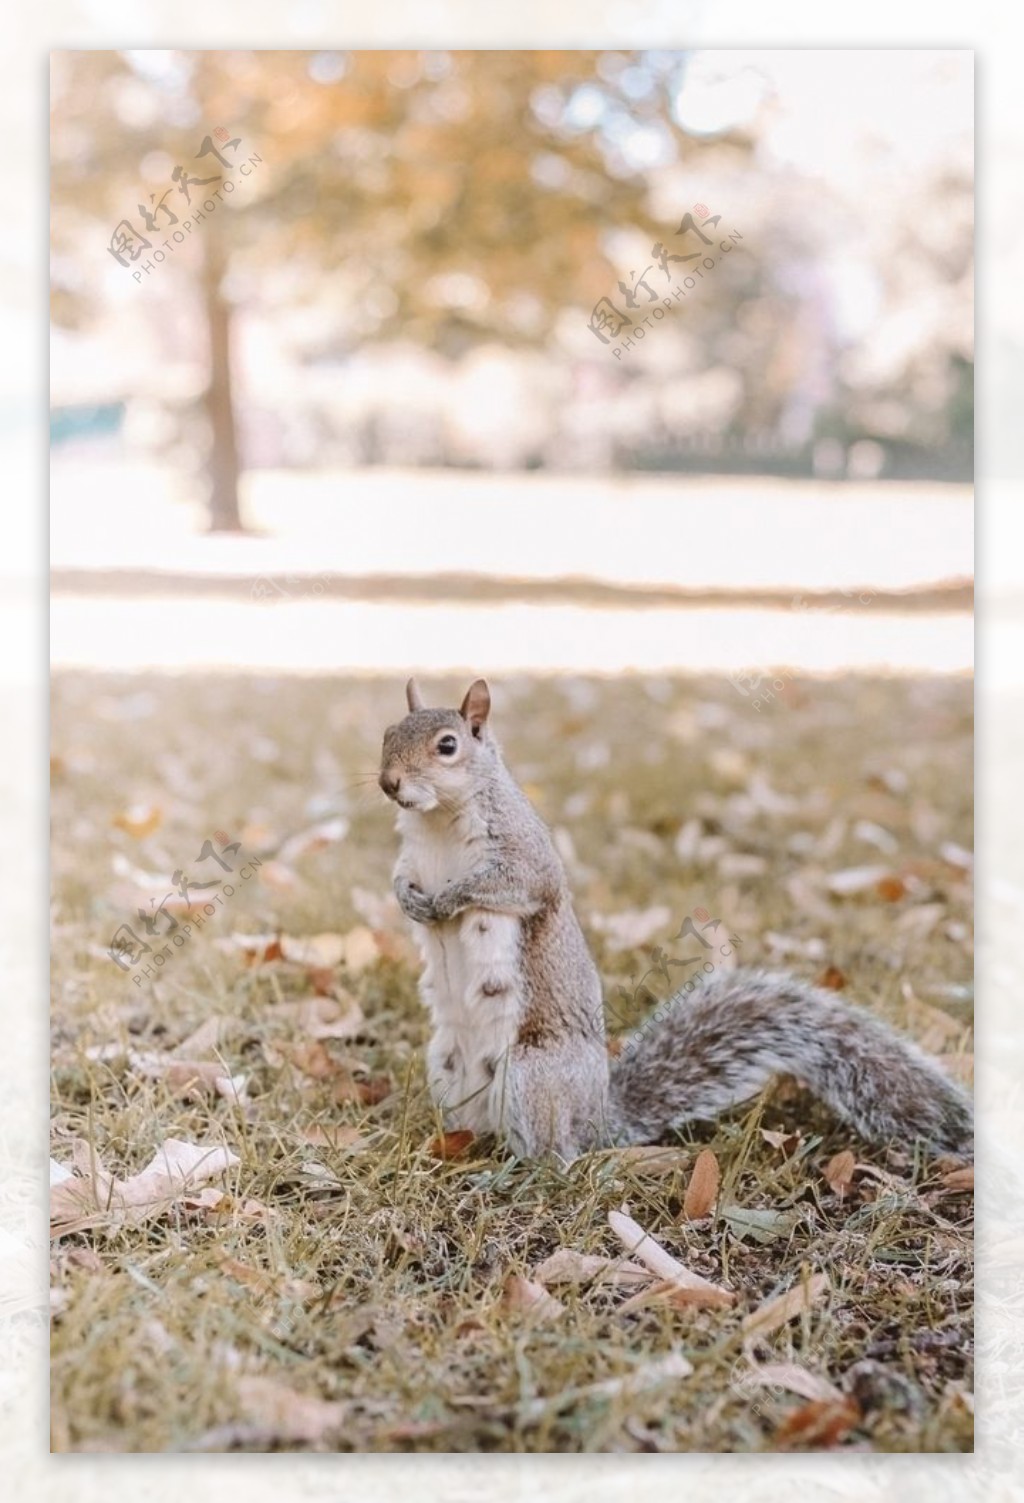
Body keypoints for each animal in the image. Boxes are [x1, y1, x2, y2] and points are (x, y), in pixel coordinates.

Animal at [378, 679, 968, 1160]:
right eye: (386, 735)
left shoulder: (524, 854)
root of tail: (598, 1118)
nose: (388, 784)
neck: (438, 822)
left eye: (448, 746)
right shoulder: (410, 857)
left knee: (558, 1157)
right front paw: (410, 901)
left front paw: (447, 900)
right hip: (446, 1065)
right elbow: (399, 878)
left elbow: (512, 885)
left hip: (533, 1075)